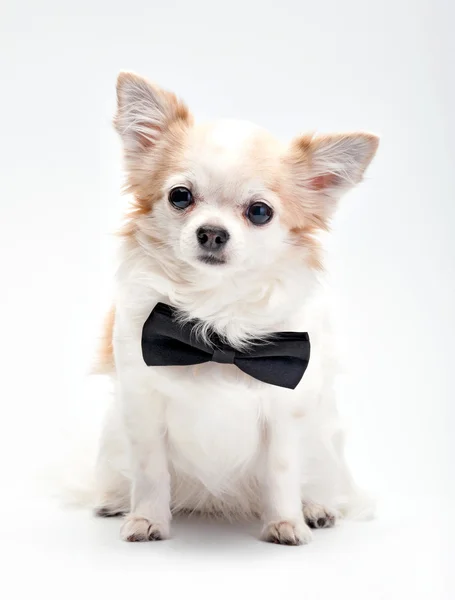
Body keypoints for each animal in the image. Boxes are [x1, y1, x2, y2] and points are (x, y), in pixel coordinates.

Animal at [94, 72, 380, 548]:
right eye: (180, 196)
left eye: (259, 212)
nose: (212, 232)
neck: (215, 316)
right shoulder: (143, 405)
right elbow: (150, 472)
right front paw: (147, 519)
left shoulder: (286, 411)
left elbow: (282, 471)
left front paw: (286, 523)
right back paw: (114, 500)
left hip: (323, 441)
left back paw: (315, 508)